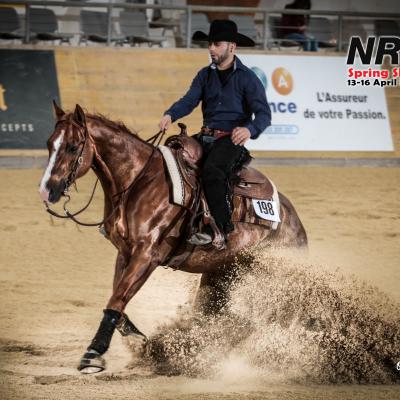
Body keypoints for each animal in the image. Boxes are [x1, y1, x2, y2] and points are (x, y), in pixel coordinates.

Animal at [38, 102, 307, 374]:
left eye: (73, 146)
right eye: (50, 144)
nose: (46, 190)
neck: (141, 182)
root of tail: (293, 220)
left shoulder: (147, 255)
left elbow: (117, 299)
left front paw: (93, 354)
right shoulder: (125, 251)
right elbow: (117, 295)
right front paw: (137, 337)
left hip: (270, 275)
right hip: (220, 275)